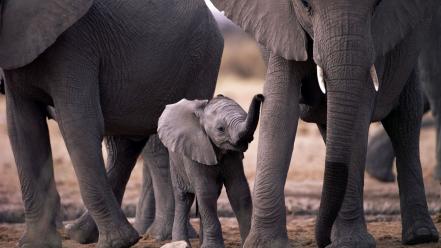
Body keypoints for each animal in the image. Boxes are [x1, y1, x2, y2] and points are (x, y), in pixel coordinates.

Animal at [0, 0, 223, 246]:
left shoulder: (75, 45)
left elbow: (78, 125)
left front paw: (119, 243)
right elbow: (22, 130)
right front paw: (36, 244)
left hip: (201, 62)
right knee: (126, 144)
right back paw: (81, 233)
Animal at [157, 94, 262, 247]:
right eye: (220, 129)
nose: (260, 96)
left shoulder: (233, 155)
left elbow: (239, 190)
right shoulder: (195, 148)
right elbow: (207, 192)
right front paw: (213, 246)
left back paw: (201, 243)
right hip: (175, 163)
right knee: (184, 199)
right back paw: (180, 242)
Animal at [211, 0, 438, 248]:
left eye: (377, 5)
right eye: (305, 4)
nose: (323, 240)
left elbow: (359, 112)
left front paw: (351, 244)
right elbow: (279, 109)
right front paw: (265, 244)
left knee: (404, 118)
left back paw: (421, 236)